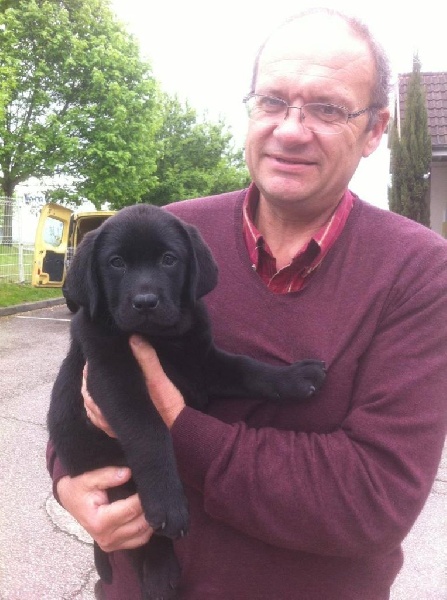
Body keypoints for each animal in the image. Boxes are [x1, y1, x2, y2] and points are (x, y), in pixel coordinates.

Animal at [49, 204, 326, 596]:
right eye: (116, 262)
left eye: (169, 259)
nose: (145, 302)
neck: (165, 340)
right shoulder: (110, 376)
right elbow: (148, 429)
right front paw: (168, 502)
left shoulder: (203, 363)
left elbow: (248, 369)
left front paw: (295, 377)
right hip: (114, 478)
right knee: (139, 539)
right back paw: (160, 571)